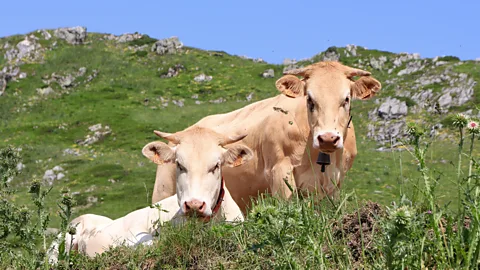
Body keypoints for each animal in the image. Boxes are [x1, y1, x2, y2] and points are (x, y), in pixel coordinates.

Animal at [152, 61, 380, 211]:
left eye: (346, 99)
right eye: (309, 99)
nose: (328, 138)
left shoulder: (335, 180)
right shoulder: (279, 171)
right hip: (162, 192)